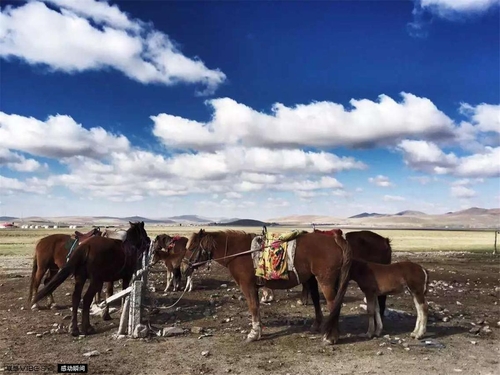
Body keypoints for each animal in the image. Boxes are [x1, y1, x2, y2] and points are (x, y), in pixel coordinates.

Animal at [184, 228, 352, 346]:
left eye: (191, 248)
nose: (184, 268)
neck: (239, 253)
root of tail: (335, 240)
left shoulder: (248, 286)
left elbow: (253, 307)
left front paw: (253, 334)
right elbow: (257, 306)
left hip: (325, 281)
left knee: (332, 304)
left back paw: (331, 337)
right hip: (314, 279)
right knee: (320, 301)